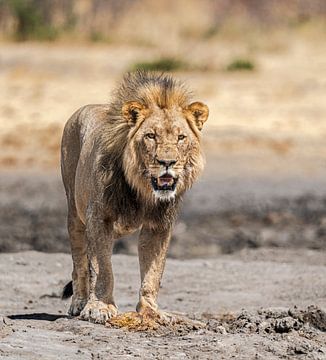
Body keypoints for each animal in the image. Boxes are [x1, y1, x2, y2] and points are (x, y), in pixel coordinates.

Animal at [60, 70, 209, 324]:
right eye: (150, 136)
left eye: (181, 137)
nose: (167, 162)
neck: (143, 190)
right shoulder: (99, 218)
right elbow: (102, 267)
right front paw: (99, 307)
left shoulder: (159, 225)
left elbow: (153, 272)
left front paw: (151, 311)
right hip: (74, 212)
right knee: (79, 261)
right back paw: (79, 302)